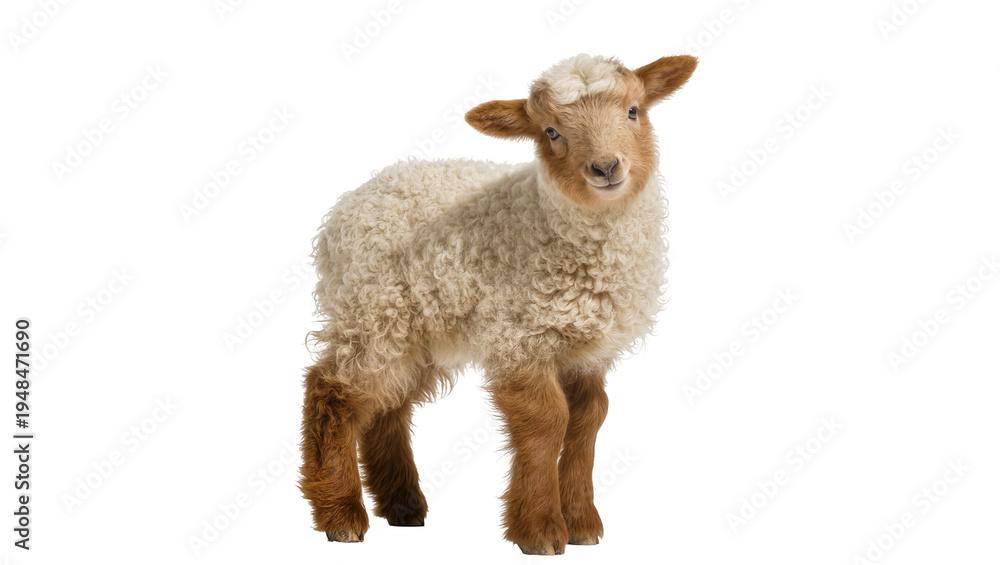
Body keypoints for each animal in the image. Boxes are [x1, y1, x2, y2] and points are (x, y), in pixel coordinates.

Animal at [300, 53, 697, 555]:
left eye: (633, 111)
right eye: (551, 131)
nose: (606, 167)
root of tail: (349, 204)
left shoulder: (587, 351)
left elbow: (588, 420)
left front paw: (582, 524)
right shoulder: (520, 336)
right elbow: (547, 421)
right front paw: (541, 530)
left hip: (417, 328)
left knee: (388, 407)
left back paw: (404, 508)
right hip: (371, 310)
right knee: (332, 392)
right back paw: (342, 516)